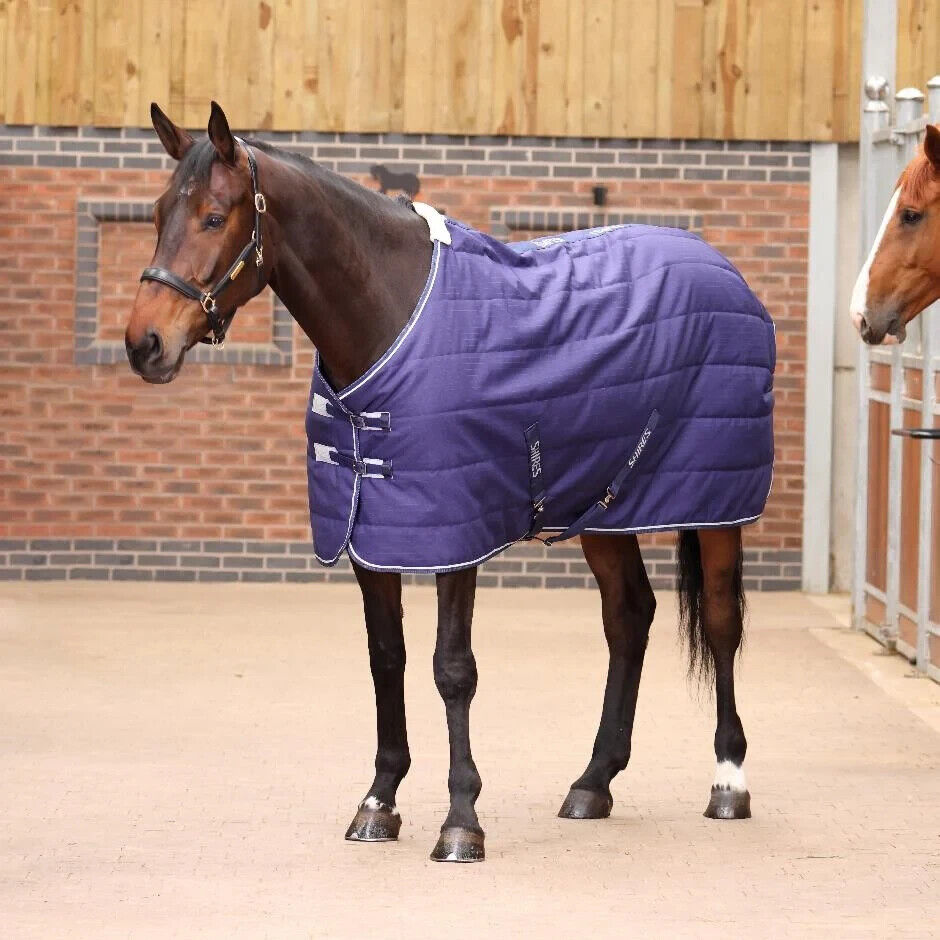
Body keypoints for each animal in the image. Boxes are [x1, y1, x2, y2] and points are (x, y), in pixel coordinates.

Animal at [125, 101, 774, 863]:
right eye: (158, 211)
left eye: (214, 215)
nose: (144, 343)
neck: (390, 318)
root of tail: (723, 270)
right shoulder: (373, 532)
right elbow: (387, 659)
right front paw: (379, 801)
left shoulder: (456, 534)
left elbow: (451, 667)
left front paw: (461, 819)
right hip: (604, 506)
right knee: (629, 617)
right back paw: (593, 782)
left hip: (716, 505)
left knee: (722, 621)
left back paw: (728, 781)